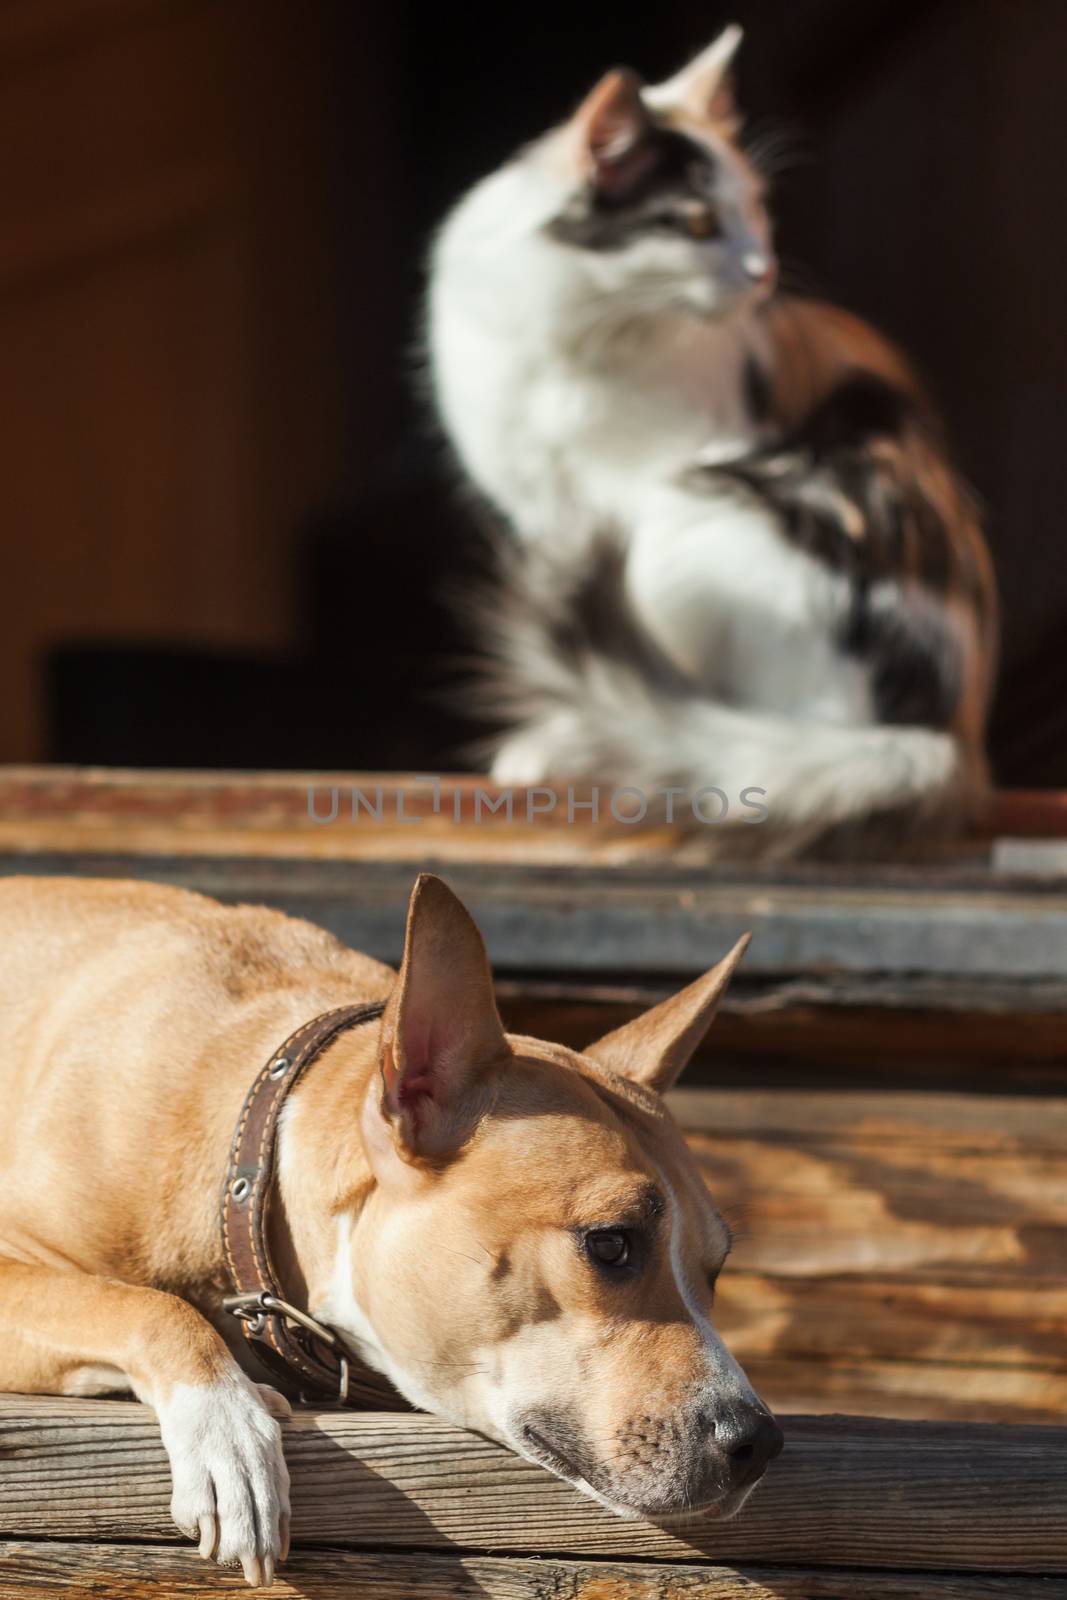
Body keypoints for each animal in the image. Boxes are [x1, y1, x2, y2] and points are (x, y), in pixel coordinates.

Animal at [428, 25, 1004, 857]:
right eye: (698, 224)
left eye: (756, 211)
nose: (762, 272)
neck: (582, 339)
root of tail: (954, 742)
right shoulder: (539, 510)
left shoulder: (650, 480)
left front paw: (591, 732)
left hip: (695, 514)